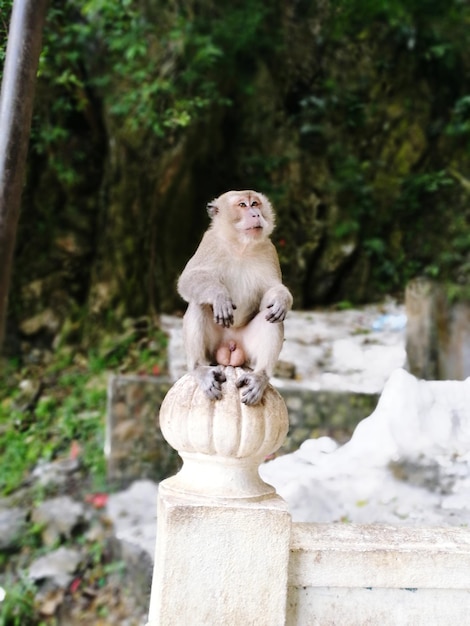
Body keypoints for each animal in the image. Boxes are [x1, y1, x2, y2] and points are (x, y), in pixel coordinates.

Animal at [177, 189, 292, 404]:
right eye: (242, 205)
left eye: (255, 203)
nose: (256, 214)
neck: (241, 246)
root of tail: (231, 343)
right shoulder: (210, 243)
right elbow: (188, 279)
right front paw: (219, 296)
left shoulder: (269, 250)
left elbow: (271, 292)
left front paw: (281, 300)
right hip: (213, 348)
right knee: (198, 303)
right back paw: (199, 369)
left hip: (247, 349)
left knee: (273, 317)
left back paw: (260, 376)